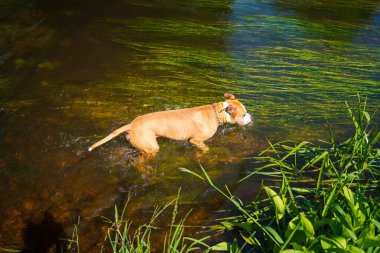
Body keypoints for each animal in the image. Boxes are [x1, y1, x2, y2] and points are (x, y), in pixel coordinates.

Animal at [87, 93, 251, 156]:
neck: (216, 112)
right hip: (151, 148)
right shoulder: (195, 140)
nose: (251, 117)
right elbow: (205, 148)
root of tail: (132, 124)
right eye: (244, 114)